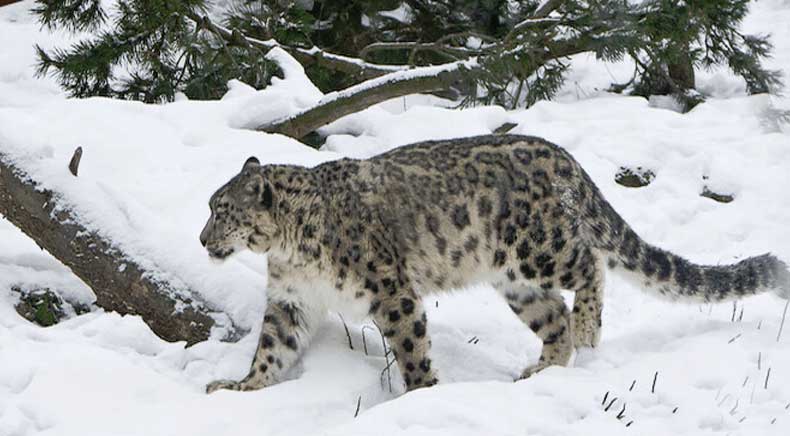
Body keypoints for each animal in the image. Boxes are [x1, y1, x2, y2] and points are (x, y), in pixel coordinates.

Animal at [200, 135, 790, 394]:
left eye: (221, 210)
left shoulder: (391, 290)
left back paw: (588, 327)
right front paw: (241, 387)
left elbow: (410, 346)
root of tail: (562, 155)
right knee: (552, 316)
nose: (203, 239)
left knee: (590, 266)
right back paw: (543, 368)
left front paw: (421, 395)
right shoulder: (291, 299)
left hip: (538, 246)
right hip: (517, 282)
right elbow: (272, 347)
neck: (289, 249)